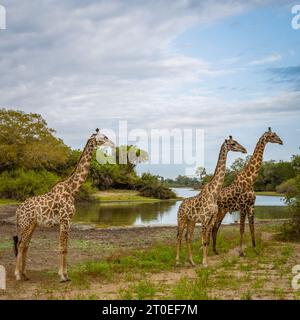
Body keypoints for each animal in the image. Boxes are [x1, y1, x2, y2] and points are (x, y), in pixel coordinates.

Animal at [12, 129, 114, 282]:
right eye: (104, 137)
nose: (113, 144)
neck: (73, 189)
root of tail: (18, 210)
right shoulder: (64, 219)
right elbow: (62, 247)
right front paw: (62, 276)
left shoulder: (69, 220)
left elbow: (66, 247)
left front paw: (66, 275)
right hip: (25, 223)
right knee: (20, 244)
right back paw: (18, 275)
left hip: (32, 224)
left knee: (25, 245)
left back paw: (25, 274)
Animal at [176, 136, 246, 266]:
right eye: (233, 144)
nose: (244, 149)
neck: (214, 194)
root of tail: (180, 205)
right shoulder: (205, 219)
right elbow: (204, 241)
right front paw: (204, 263)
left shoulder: (212, 219)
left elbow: (206, 241)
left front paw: (205, 261)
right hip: (181, 219)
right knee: (178, 236)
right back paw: (177, 261)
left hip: (191, 221)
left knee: (188, 237)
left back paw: (191, 261)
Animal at [212, 126, 282, 256]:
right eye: (273, 136)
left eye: (276, 134)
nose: (281, 141)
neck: (250, 181)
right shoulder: (243, 206)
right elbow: (242, 228)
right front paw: (241, 252)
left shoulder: (251, 205)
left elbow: (252, 227)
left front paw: (255, 249)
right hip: (217, 211)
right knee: (212, 227)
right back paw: (210, 249)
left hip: (223, 211)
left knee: (215, 227)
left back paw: (214, 250)